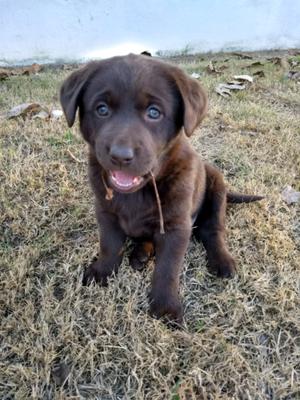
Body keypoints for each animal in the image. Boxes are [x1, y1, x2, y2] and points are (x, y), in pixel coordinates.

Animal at [61, 54, 262, 324]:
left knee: (213, 231)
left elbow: (167, 267)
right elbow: (109, 245)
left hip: (216, 186)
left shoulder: (177, 226)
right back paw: (141, 253)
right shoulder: (105, 212)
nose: (120, 156)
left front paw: (165, 306)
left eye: (154, 112)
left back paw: (222, 261)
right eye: (102, 109)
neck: (139, 191)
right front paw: (102, 271)